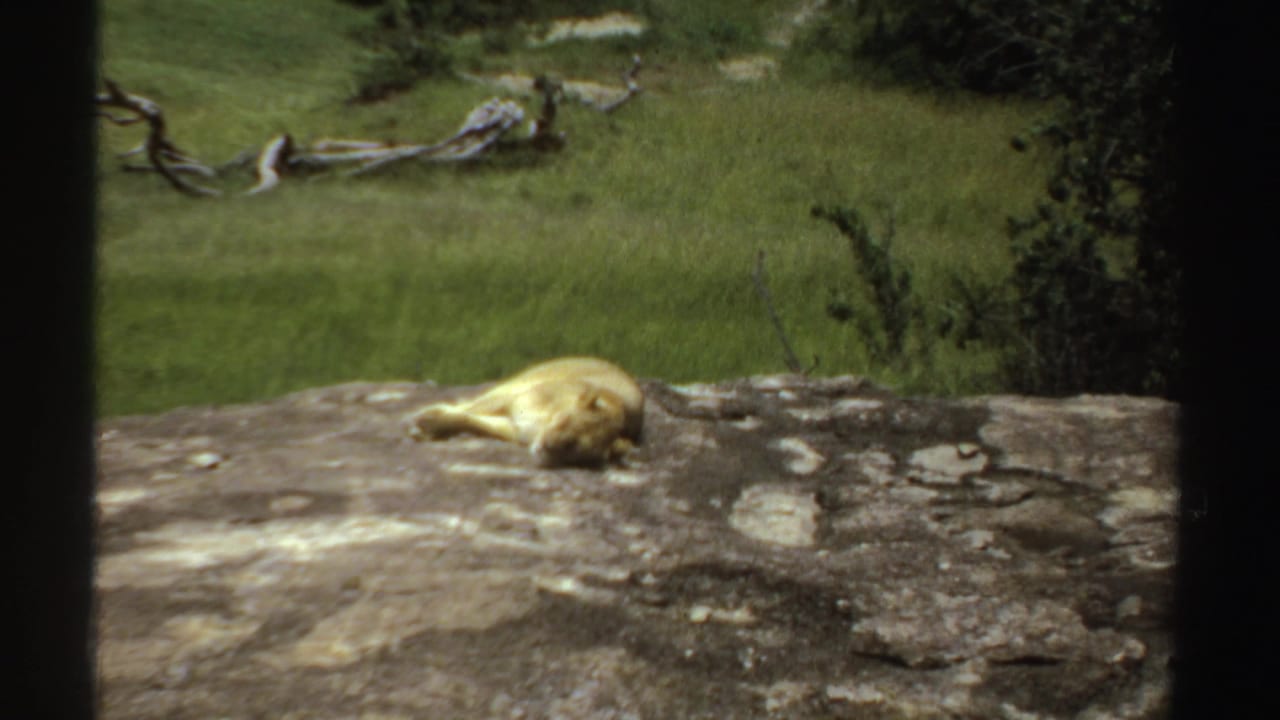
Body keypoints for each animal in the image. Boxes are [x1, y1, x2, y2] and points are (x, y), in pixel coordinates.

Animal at [406, 356, 644, 467]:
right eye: (565, 420)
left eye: (574, 448)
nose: (546, 446)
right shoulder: (514, 398)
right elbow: (469, 411)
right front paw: (426, 422)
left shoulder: (512, 428)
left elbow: (471, 420)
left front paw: (427, 426)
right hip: (518, 382)